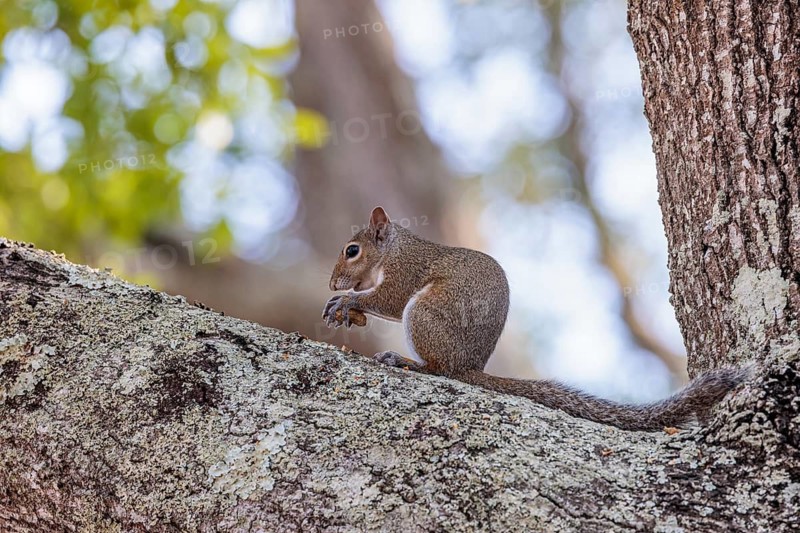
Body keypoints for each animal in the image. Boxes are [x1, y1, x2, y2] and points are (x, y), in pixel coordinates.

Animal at [322, 206, 750, 431]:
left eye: (352, 250)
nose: (331, 282)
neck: (394, 248)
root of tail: (470, 365)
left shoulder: (405, 272)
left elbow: (390, 300)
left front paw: (346, 300)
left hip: (425, 315)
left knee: (440, 370)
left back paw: (406, 361)